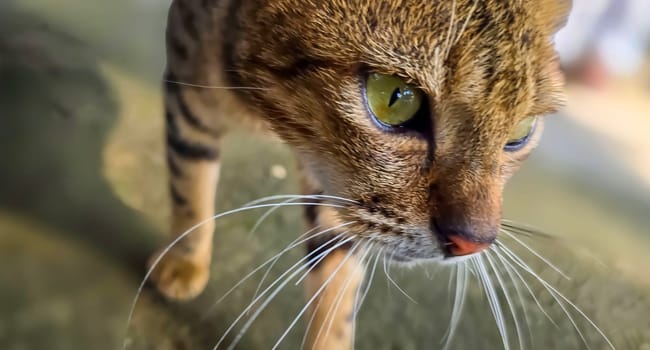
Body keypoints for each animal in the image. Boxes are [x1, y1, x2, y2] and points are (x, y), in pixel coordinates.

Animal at [144, 0, 580, 348]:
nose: (473, 243)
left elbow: (337, 276)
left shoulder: (337, 187)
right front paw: (184, 259)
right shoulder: (190, 96)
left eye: (520, 130)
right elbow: (190, 187)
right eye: (394, 97)